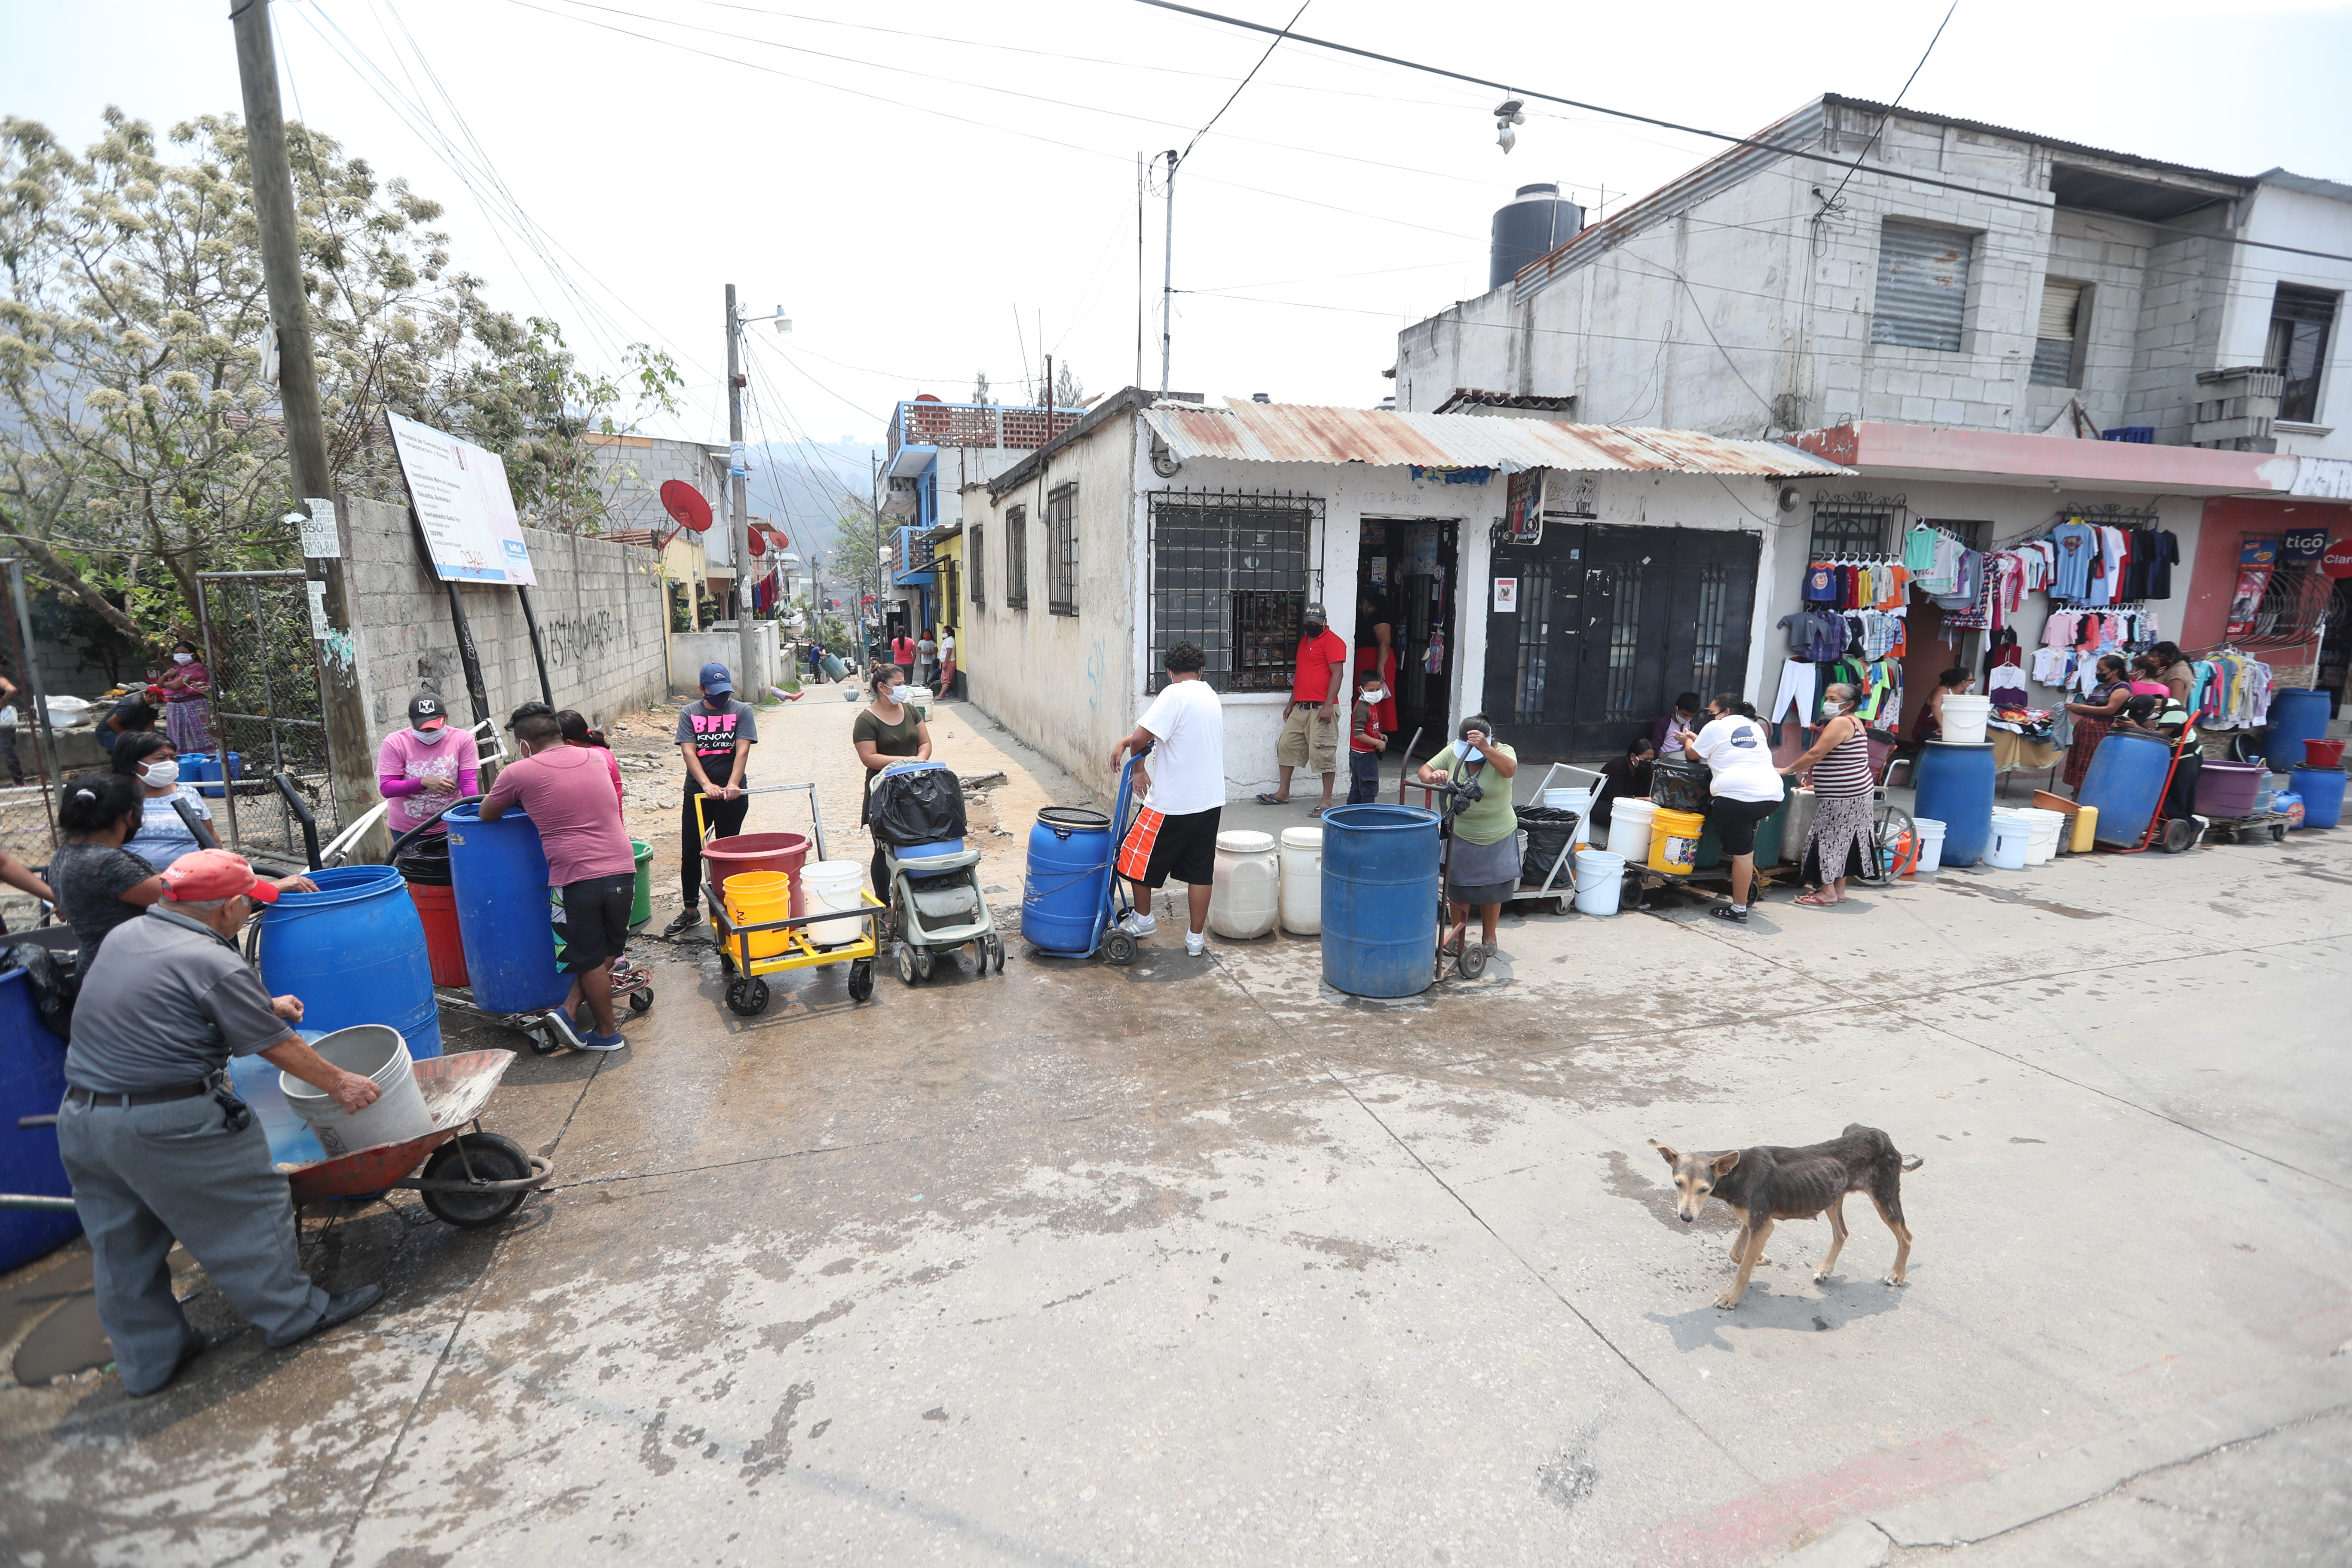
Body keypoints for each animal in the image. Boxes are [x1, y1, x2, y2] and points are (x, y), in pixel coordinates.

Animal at [1646, 1124, 1919, 1307]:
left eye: (1704, 1189)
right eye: (1678, 1183)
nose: (1686, 1218)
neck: (1735, 1173)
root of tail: (1883, 1137)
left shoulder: (1762, 1225)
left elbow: (1742, 1269)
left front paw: (1731, 1298)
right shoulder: (1753, 1221)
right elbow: (1737, 1254)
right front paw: (1761, 1259)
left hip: (1884, 1198)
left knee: (1906, 1237)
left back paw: (1897, 1275)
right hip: (1831, 1197)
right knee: (1842, 1234)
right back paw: (1826, 1270)